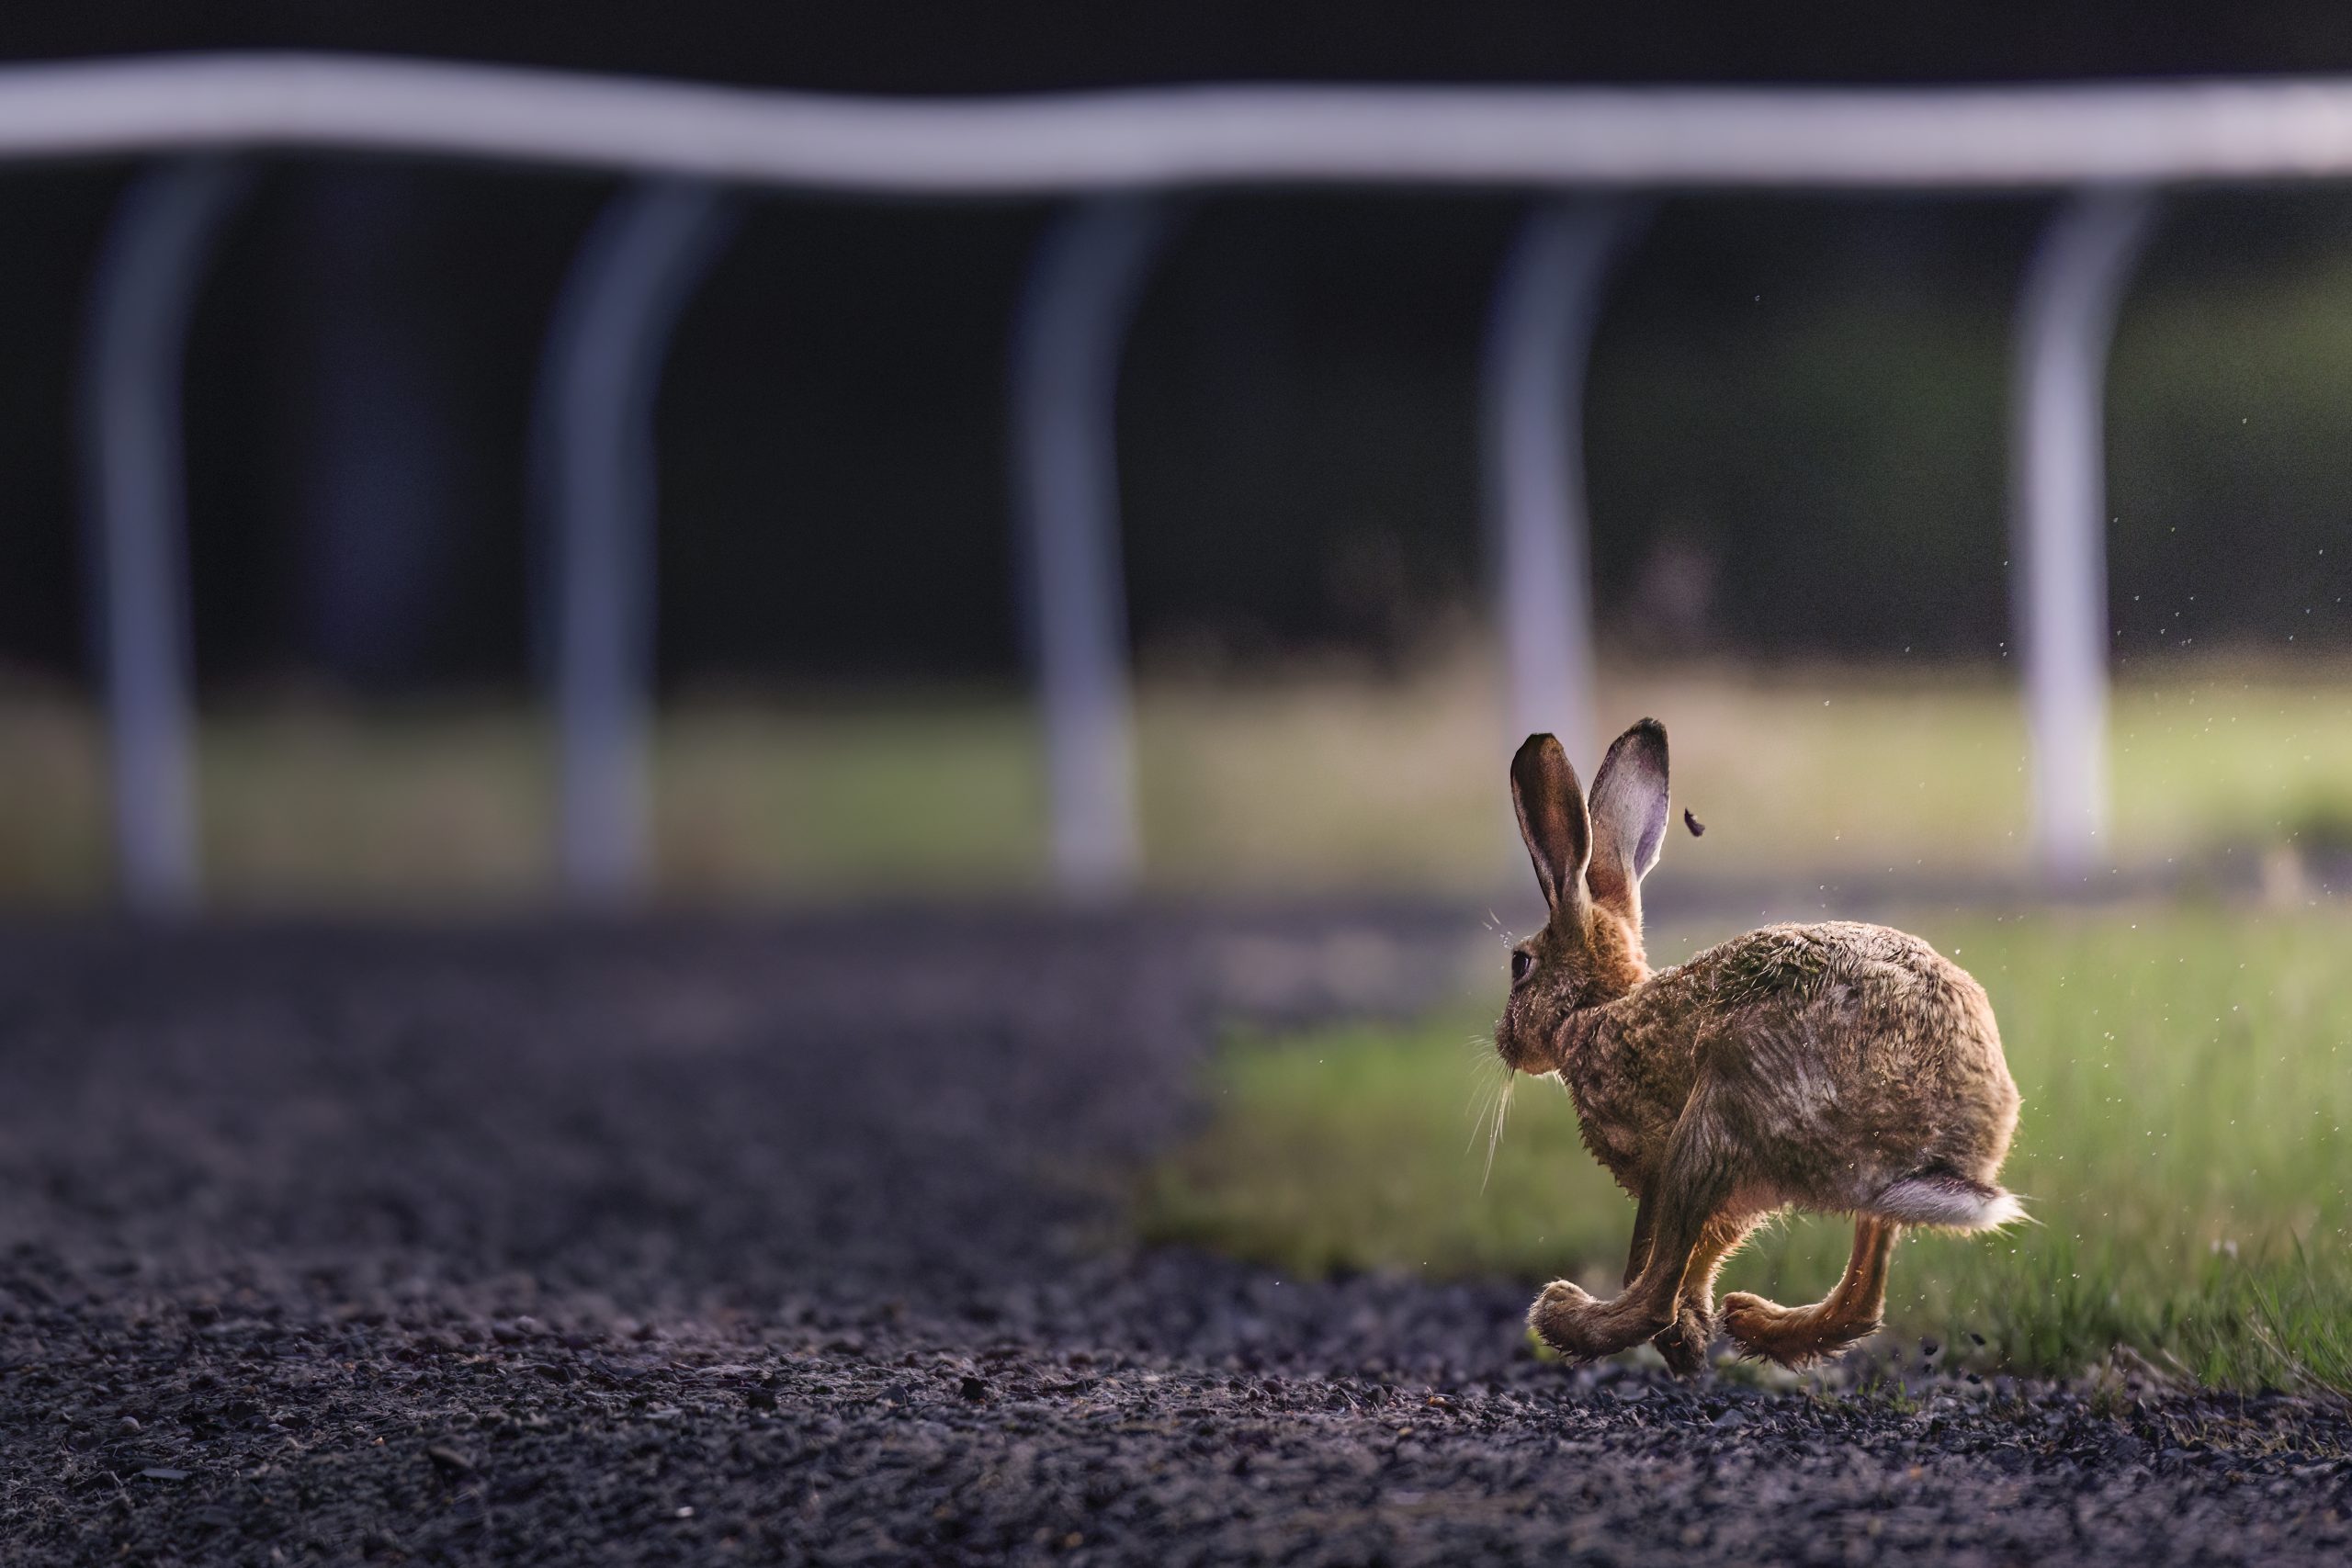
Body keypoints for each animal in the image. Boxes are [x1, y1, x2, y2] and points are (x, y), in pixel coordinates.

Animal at [1495, 720, 2022, 1373]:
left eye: (1520, 965)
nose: (1505, 1042)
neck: (1592, 1012)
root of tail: (1945, 1150)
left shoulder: (1662, 1161)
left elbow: (1659, 1252)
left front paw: (1680, 1337)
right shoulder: (1732, 1199)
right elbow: (1702, 1255)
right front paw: (1693, 1335)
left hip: (1716, 1117)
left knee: (1655, 1290)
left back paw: (1568, 1316)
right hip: (1834, 1184)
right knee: (1863, 1295)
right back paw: (1755, 1323)